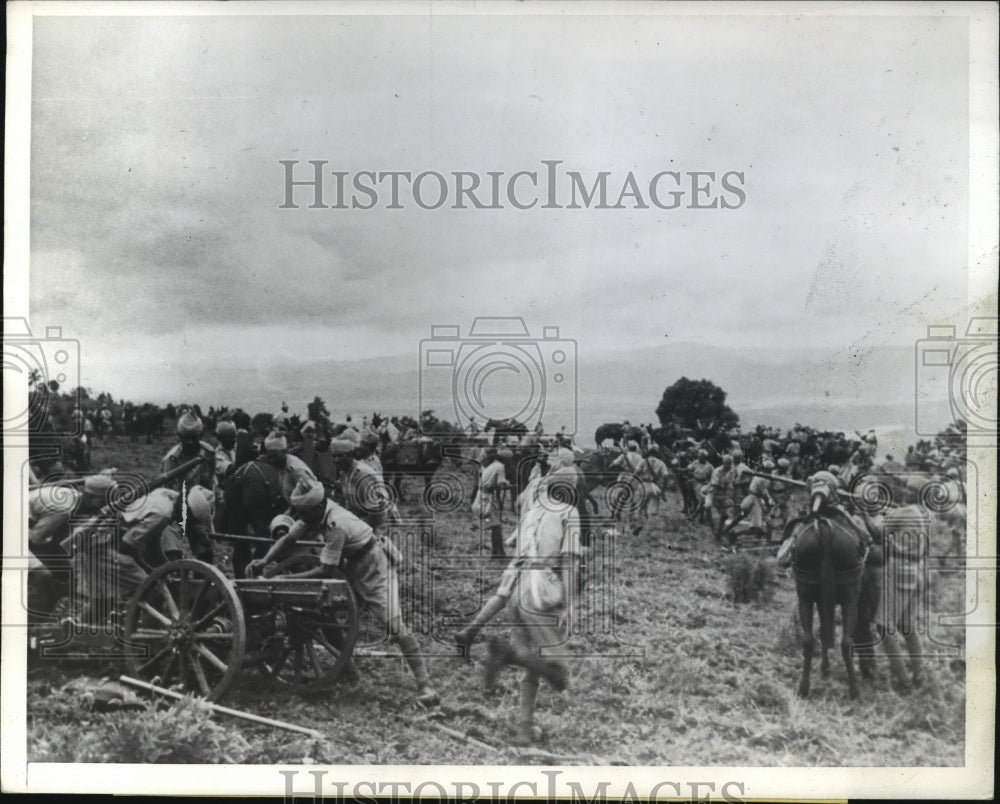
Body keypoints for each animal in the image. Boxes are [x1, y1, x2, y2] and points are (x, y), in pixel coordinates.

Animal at [792, 484, 872, 696]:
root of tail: (824, 526)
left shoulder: (819, 600)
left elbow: (822, 631)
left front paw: (824, 667)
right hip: (850, 598)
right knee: (846, 642)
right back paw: (854, 689)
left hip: (805, 596)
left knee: (808, 639)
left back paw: (804, 687)